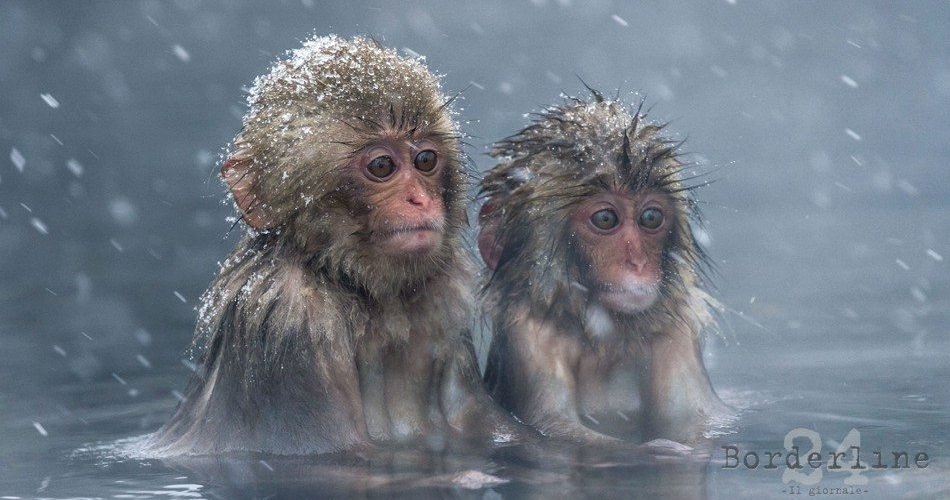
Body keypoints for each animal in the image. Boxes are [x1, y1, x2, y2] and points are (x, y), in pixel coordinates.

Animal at [142, 36, 530, 456]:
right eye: (381, 166)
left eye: (426, 159)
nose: (419, 199)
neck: (362, 295)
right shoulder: (288, 319)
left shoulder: (445, 306)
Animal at [478, 93, 732, 445]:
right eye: (605, 219)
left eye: (650, 218)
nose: (637, 261)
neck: (605, 341)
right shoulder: (529, 336)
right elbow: (554, 425)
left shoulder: (676, 333)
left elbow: (695, 419)